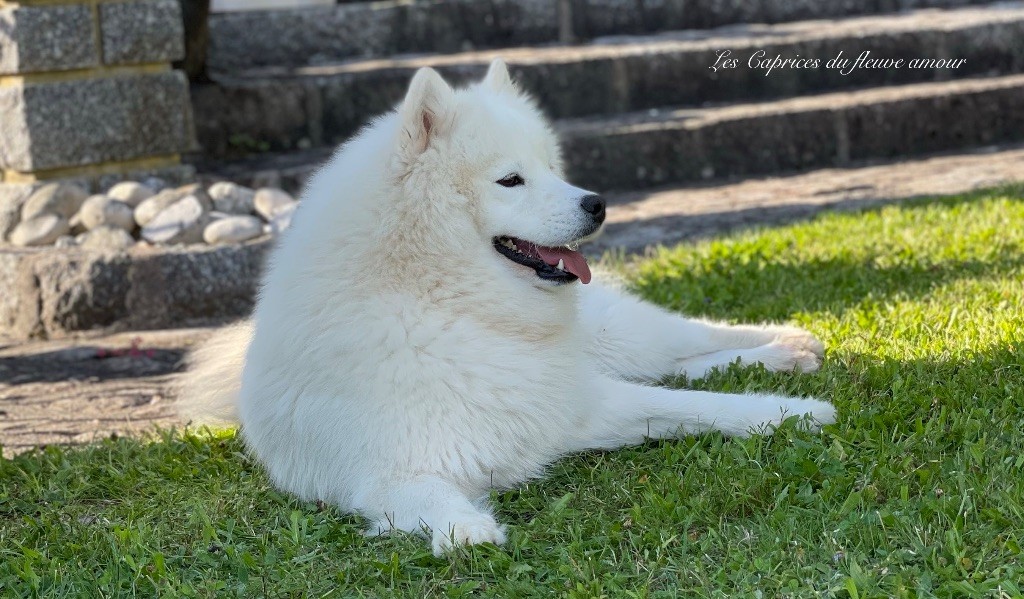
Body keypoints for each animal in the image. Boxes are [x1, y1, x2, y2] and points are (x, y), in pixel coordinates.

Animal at [182, 59, 831, 557]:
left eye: (551, 168)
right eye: (511, 180)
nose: (597, 203)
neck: (447, 307)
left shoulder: (573, 402)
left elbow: (704, 406)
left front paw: (796, 411)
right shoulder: (383, 471)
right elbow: (425, 494)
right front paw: (466, 528)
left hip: (618, 334)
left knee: (689, 338)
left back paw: (790, 344)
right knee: (677, 364)